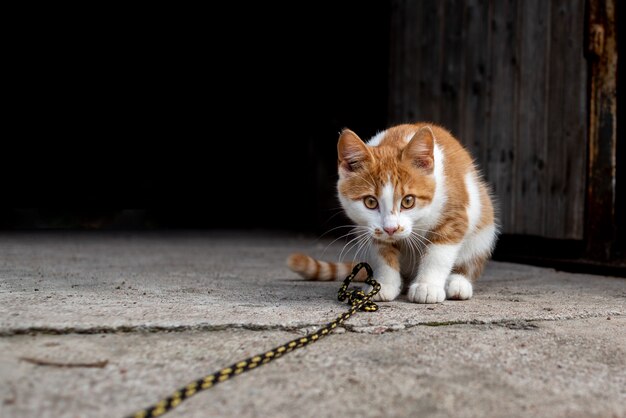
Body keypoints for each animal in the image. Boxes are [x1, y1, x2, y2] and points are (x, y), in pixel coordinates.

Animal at [288, 122, 498, 302]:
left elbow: (439, 252)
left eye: (408, 201)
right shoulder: (369, 228)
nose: (391, 229)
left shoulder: (455, 213)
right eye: (370, 202)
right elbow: (382, 252)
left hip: (484, 225)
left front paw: (427, 286)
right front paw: (385, 284)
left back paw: (458, 282)